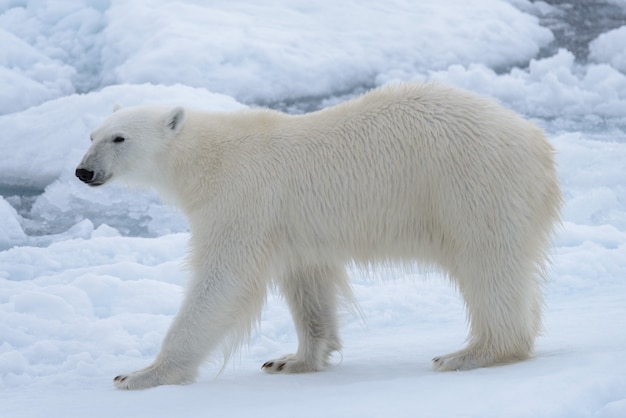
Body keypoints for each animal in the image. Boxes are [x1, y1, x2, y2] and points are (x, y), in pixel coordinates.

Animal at [75, 83, 560, 390]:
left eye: (119, 138)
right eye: (91, 134)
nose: (84, 171)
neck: (207, 157)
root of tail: (537, 141)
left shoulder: (242, 199)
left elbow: (223, 279)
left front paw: (140, 375)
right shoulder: (291, 227)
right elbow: (308, 285)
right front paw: (292, 360)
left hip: (471, 185)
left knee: (488, 264)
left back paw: (471, 353)